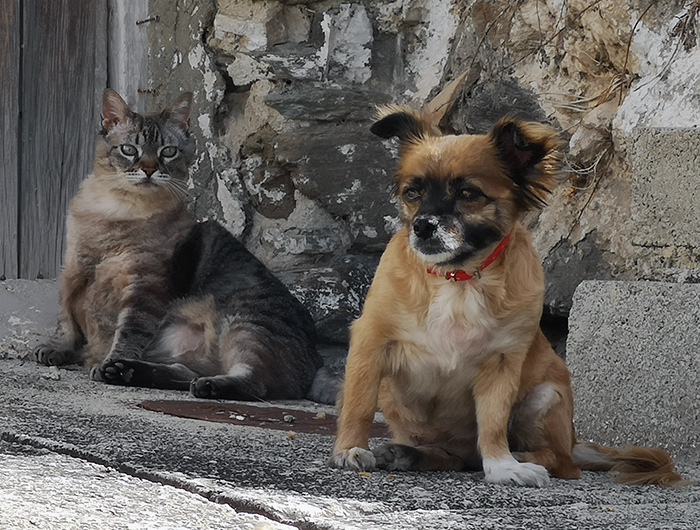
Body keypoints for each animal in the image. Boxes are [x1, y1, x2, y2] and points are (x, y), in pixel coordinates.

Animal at [34, 89, 326, 400]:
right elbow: (66, 319)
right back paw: (126, 371)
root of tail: (316, 360)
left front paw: (106, 361)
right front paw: (55, 350)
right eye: (129, 149)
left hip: (244, 327)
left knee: (250, 382)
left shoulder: (144, 287)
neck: (114, 211)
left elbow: (128, 332)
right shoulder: (73, 269)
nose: (149, 170)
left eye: (167, 152)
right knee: (184, 373)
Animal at [328, 105, 684, 484]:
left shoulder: (502, 363)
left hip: (545, 396)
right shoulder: (371, 342)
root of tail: (573, 442)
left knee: (560, 461)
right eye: (413, 193)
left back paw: (524, 457)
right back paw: (410, 454)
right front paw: (350, 448)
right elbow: (359, 403)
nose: (423, 225)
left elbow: (493, 423)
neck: (458, 278)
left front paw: (502, 466)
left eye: (468, 194)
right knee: (455, 457)